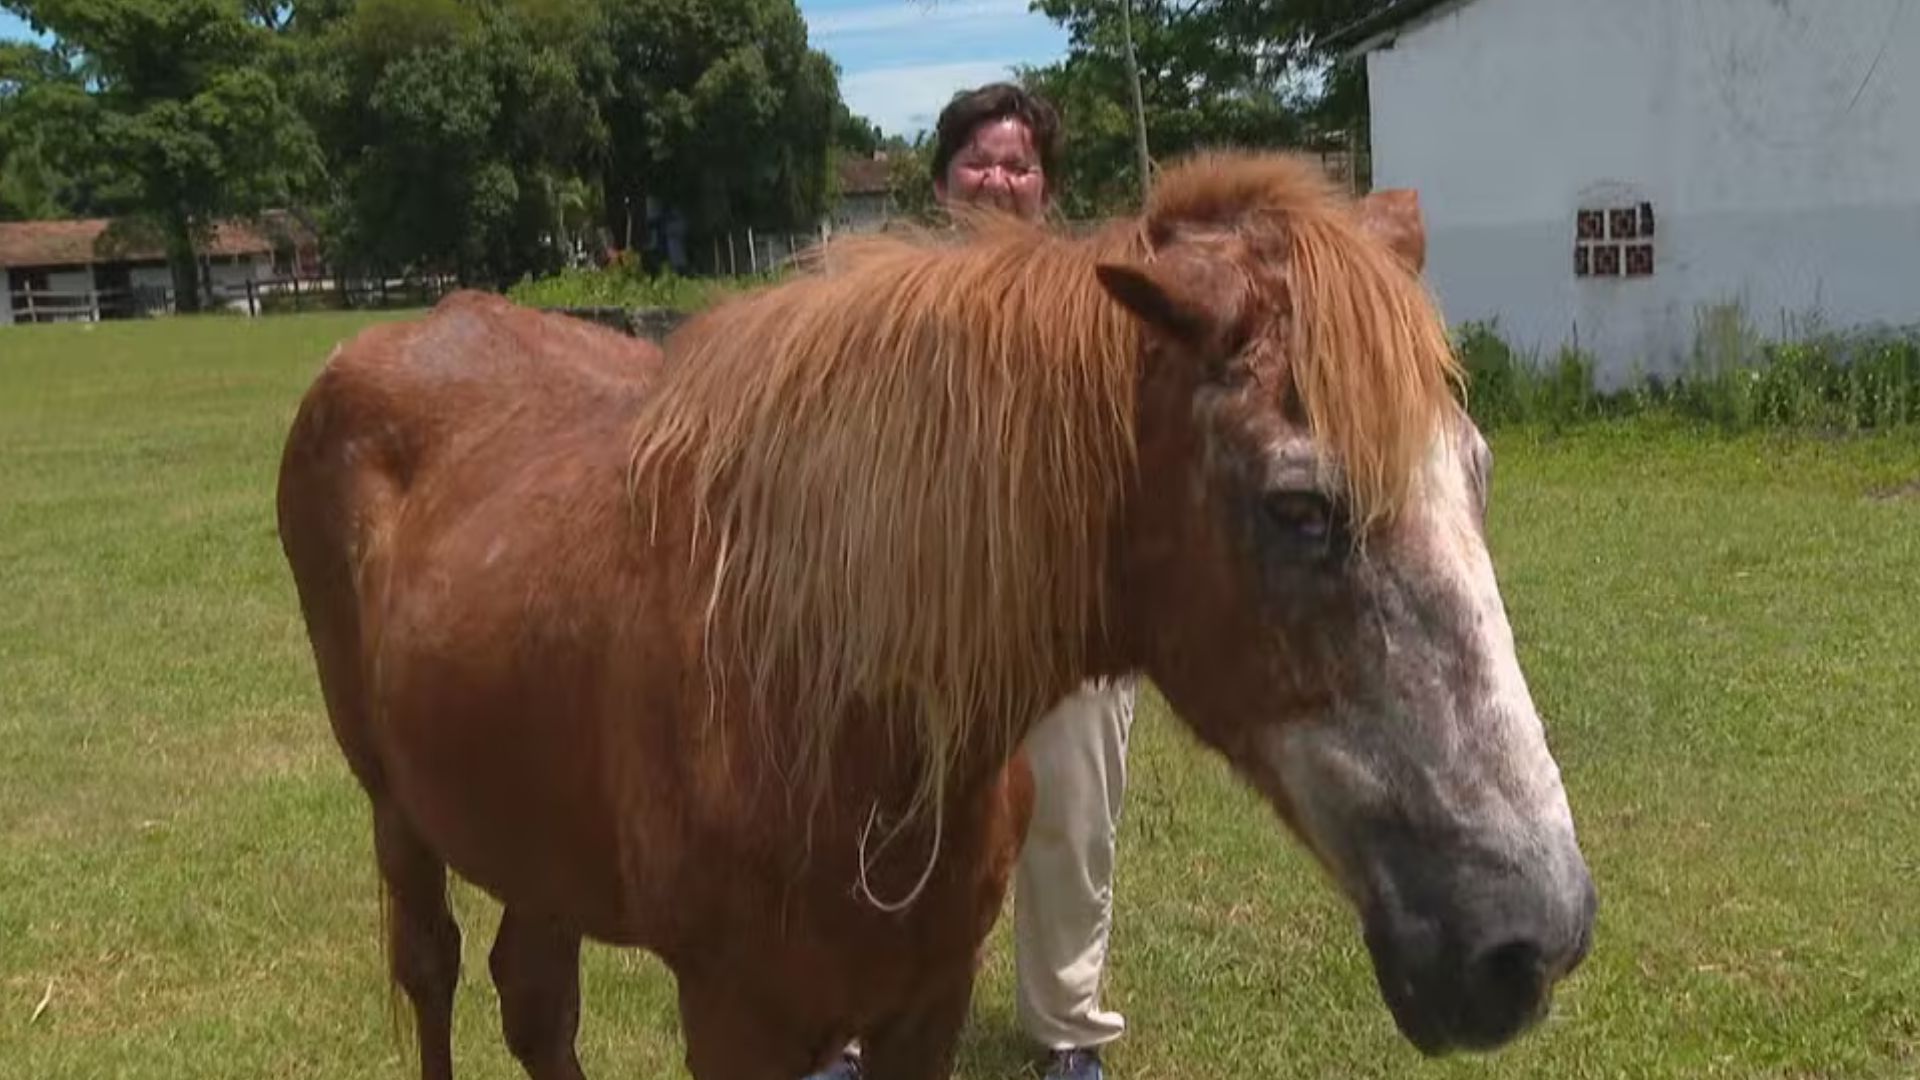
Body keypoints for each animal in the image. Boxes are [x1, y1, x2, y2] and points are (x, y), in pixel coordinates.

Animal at [278, 153, 1597, 1076]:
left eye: (1476, 470)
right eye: (1300, 508)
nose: (1536, 937)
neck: (819, 690)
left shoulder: (927, 1000)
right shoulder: (736, 1026)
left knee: (536, 1002)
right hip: (396, 812)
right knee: (438, 976)